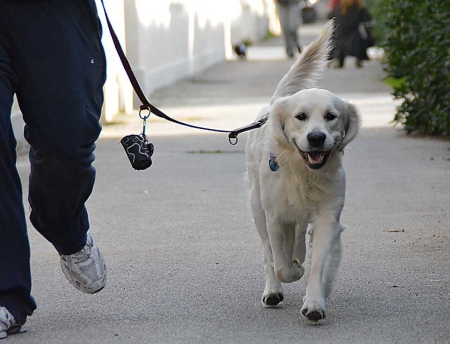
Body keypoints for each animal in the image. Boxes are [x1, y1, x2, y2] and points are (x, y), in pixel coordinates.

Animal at [244, 21, 360, 322]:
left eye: (331, 117)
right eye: (300, 117)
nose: (316, 138)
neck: (304, 173)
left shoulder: (328, 216)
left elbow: (319, 264)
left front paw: (316, 303)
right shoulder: (274, 215)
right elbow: (282, 264)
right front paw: (293, 271)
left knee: (298, 236)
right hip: (257, 206)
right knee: (269, 254)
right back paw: (272, 290)